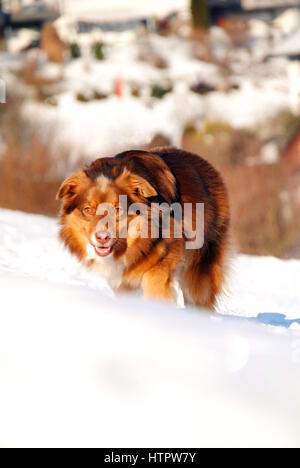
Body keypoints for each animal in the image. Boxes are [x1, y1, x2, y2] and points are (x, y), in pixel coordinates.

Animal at [56, 148, 230, 310]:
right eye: (88, 209)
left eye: (118, 209)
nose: (102, 237)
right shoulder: (122, 282)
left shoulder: (159, 269)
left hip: (199, 272)